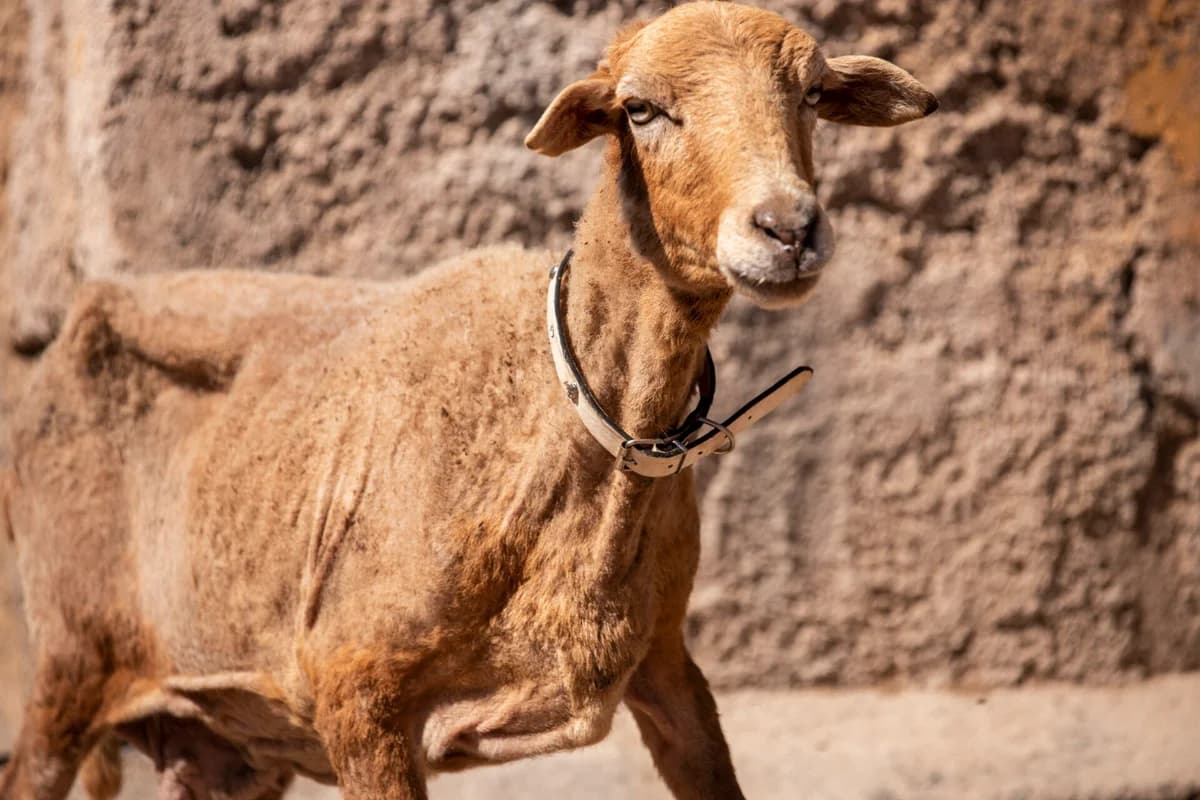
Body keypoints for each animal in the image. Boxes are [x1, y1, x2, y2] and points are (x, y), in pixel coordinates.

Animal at [0, 2, 936, 798]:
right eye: (640, 110)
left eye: (812, 95)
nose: (788, 228)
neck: (565, 422)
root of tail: (79, 314)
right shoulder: (356, 693)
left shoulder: (668, 666)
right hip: (69, 663)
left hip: (226, 740)